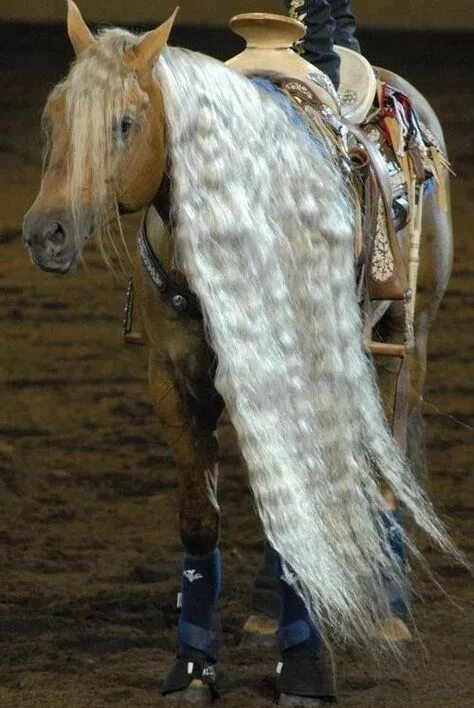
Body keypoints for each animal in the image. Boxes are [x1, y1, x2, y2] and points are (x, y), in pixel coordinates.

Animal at [22, 2, 456, 704]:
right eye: (52, 118)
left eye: (125, 123)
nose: (46, 233)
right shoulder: (173, 381)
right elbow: (204, 519)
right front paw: (192, 667)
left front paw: (305, 669)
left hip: (407, 339)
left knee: (392, 459)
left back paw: (390, 609)